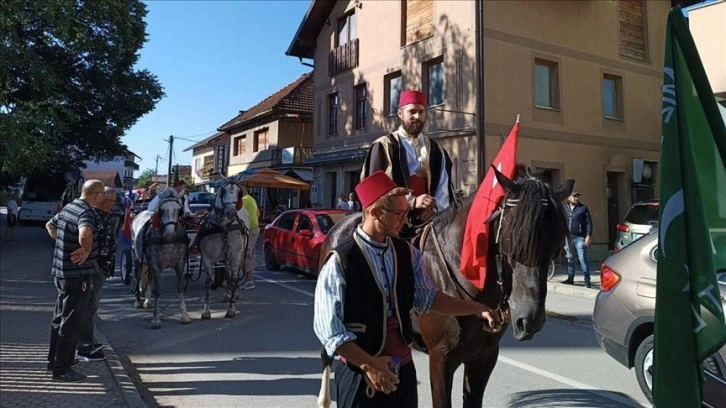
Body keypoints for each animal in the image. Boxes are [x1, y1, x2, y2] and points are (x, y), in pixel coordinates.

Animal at [132, 190, 191, 328]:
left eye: (179, 210)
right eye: (162, 210)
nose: (169, 235)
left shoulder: (180, 265)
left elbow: (180, 287)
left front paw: (184, 315)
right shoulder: (155, 266)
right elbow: (157, 290)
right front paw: (156, 318)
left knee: (148, 277)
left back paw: (147, 300)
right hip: (136, 257)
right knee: (137, 275)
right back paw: (138, 300)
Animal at [195, 177, 249, 320]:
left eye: (239, 192)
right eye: (223, 191)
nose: (231, 212)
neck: (223, 227)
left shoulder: (235, 256)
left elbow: (234, 279)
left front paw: (231, 309)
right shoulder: (207, 258)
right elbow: (208, 282)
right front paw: (206, 311)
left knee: (235, 275)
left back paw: (234, 294)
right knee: (227, 273)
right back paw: (227, 294)